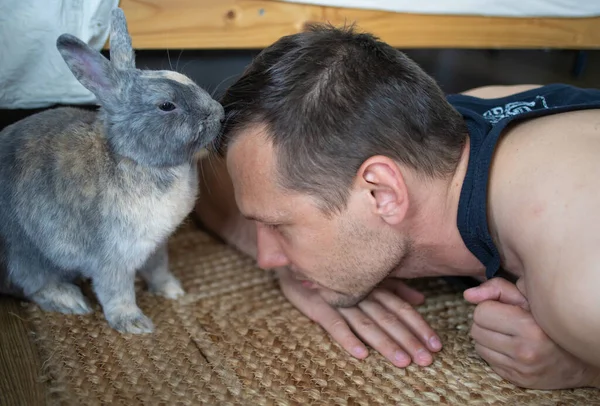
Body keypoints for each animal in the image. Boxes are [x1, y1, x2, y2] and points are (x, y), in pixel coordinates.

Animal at [0, 8, 224, 334]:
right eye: (166, 105)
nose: (220, 114)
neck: (135, 158)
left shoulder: (156, 245)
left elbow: (158, 268)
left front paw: (171, 290)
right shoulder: (112, 256)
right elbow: (116, 291)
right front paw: (134, 324)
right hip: (25, 252)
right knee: (33, 283)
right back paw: (70, 300)